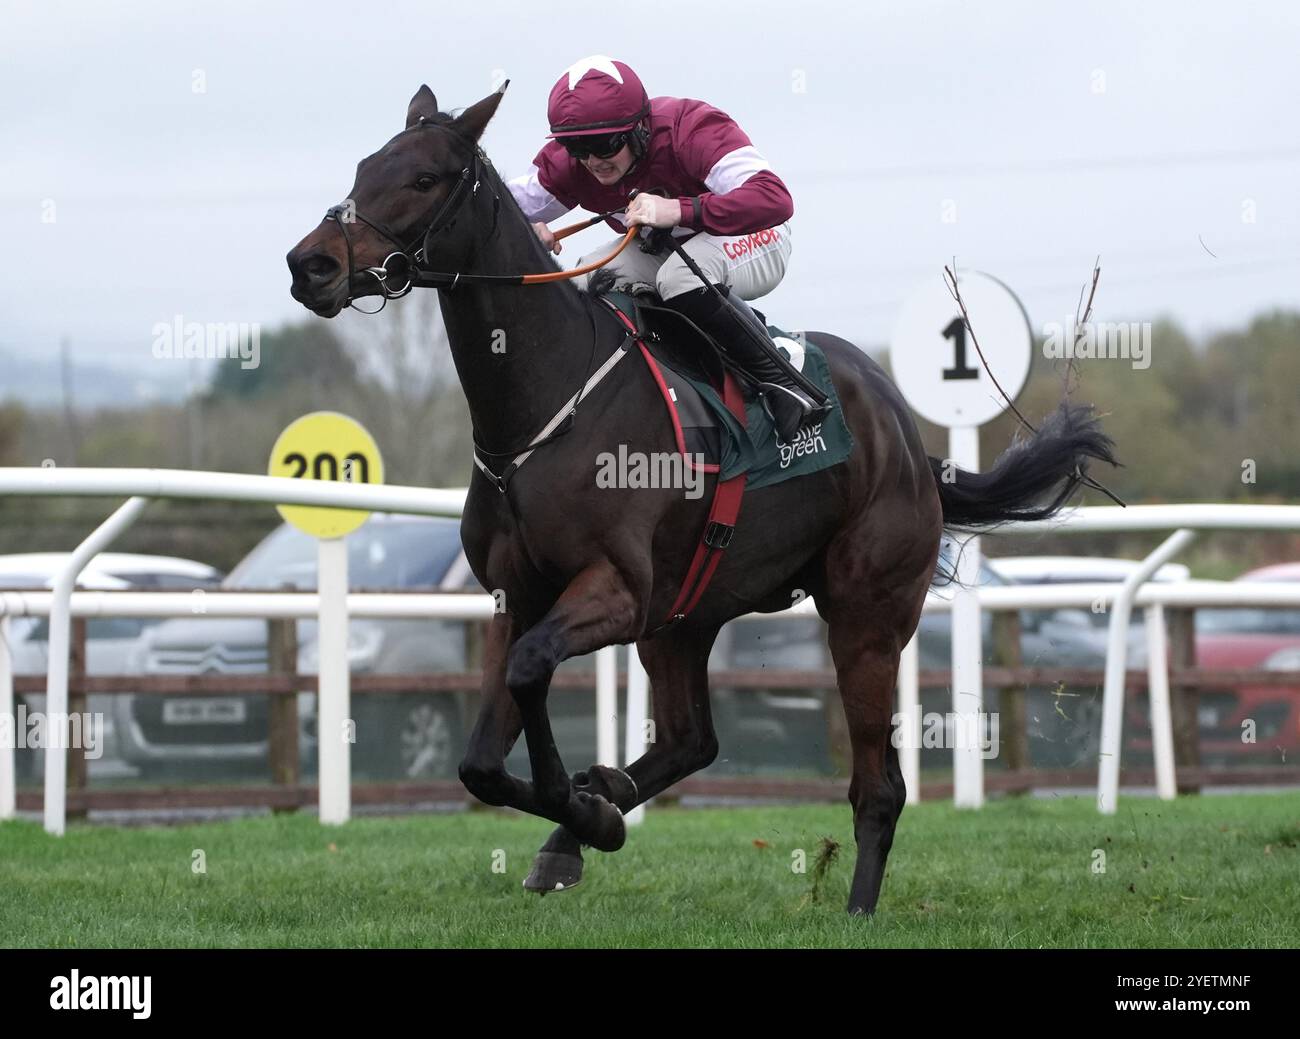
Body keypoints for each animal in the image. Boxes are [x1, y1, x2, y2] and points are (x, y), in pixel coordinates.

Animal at [287, 85, 1118, 915]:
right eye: (364, 168)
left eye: (425, 178)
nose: (310, 263)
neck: (546, 402)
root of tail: (910, 440)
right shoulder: (514, 597)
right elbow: (481, 763)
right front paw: (585, 813)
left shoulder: (616, 588)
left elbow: (528, 673)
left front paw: (582, 804)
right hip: (684, 616)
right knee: (694, 739)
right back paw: (591, 816)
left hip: (865, 616)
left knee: (877, 784)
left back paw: (854, 904)